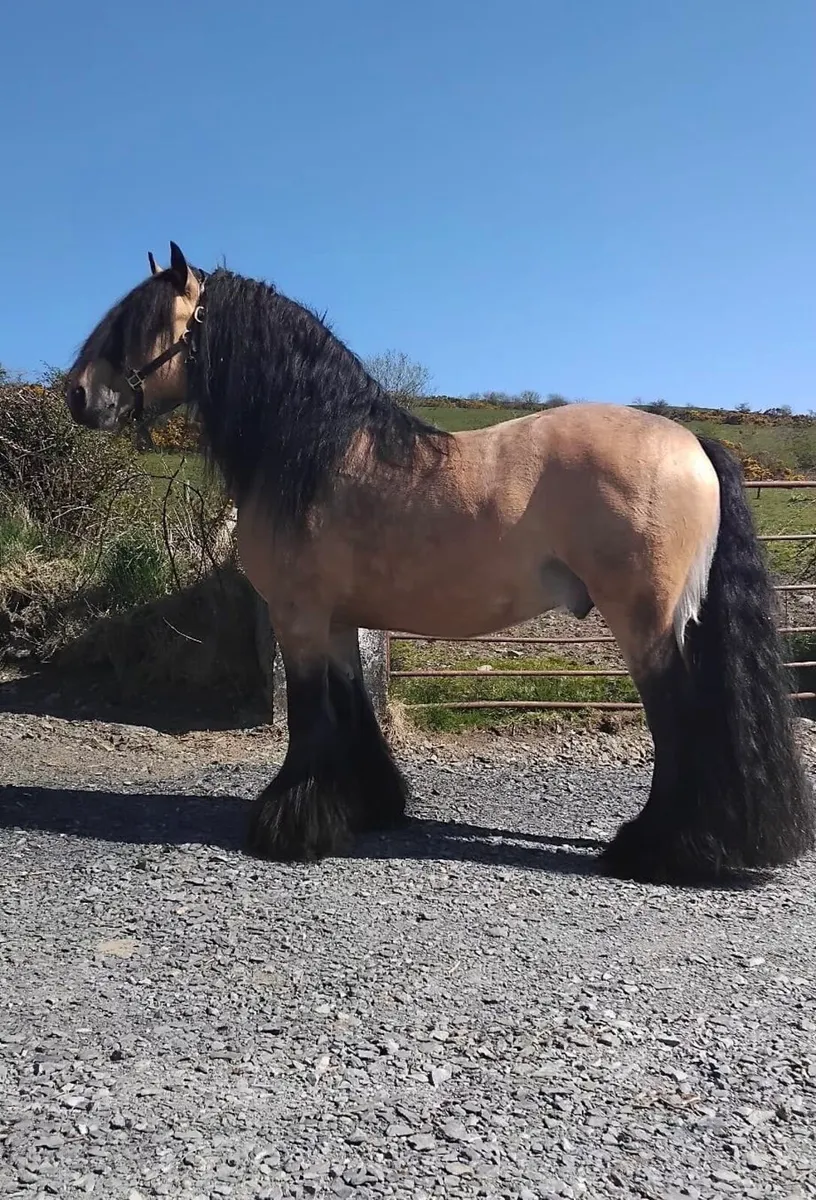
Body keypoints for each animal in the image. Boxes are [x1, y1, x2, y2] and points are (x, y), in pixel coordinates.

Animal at [64, 240, 815, 884]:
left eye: (136, 323)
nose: (76, 394)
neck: (316, 450)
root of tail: (691, 442)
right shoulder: (338, 622)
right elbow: (351, 709)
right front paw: (368, 808)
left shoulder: (298, 618)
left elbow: (308, 718)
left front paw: (289, 827)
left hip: (646, 624)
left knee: (683, 720)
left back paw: (660, 849)